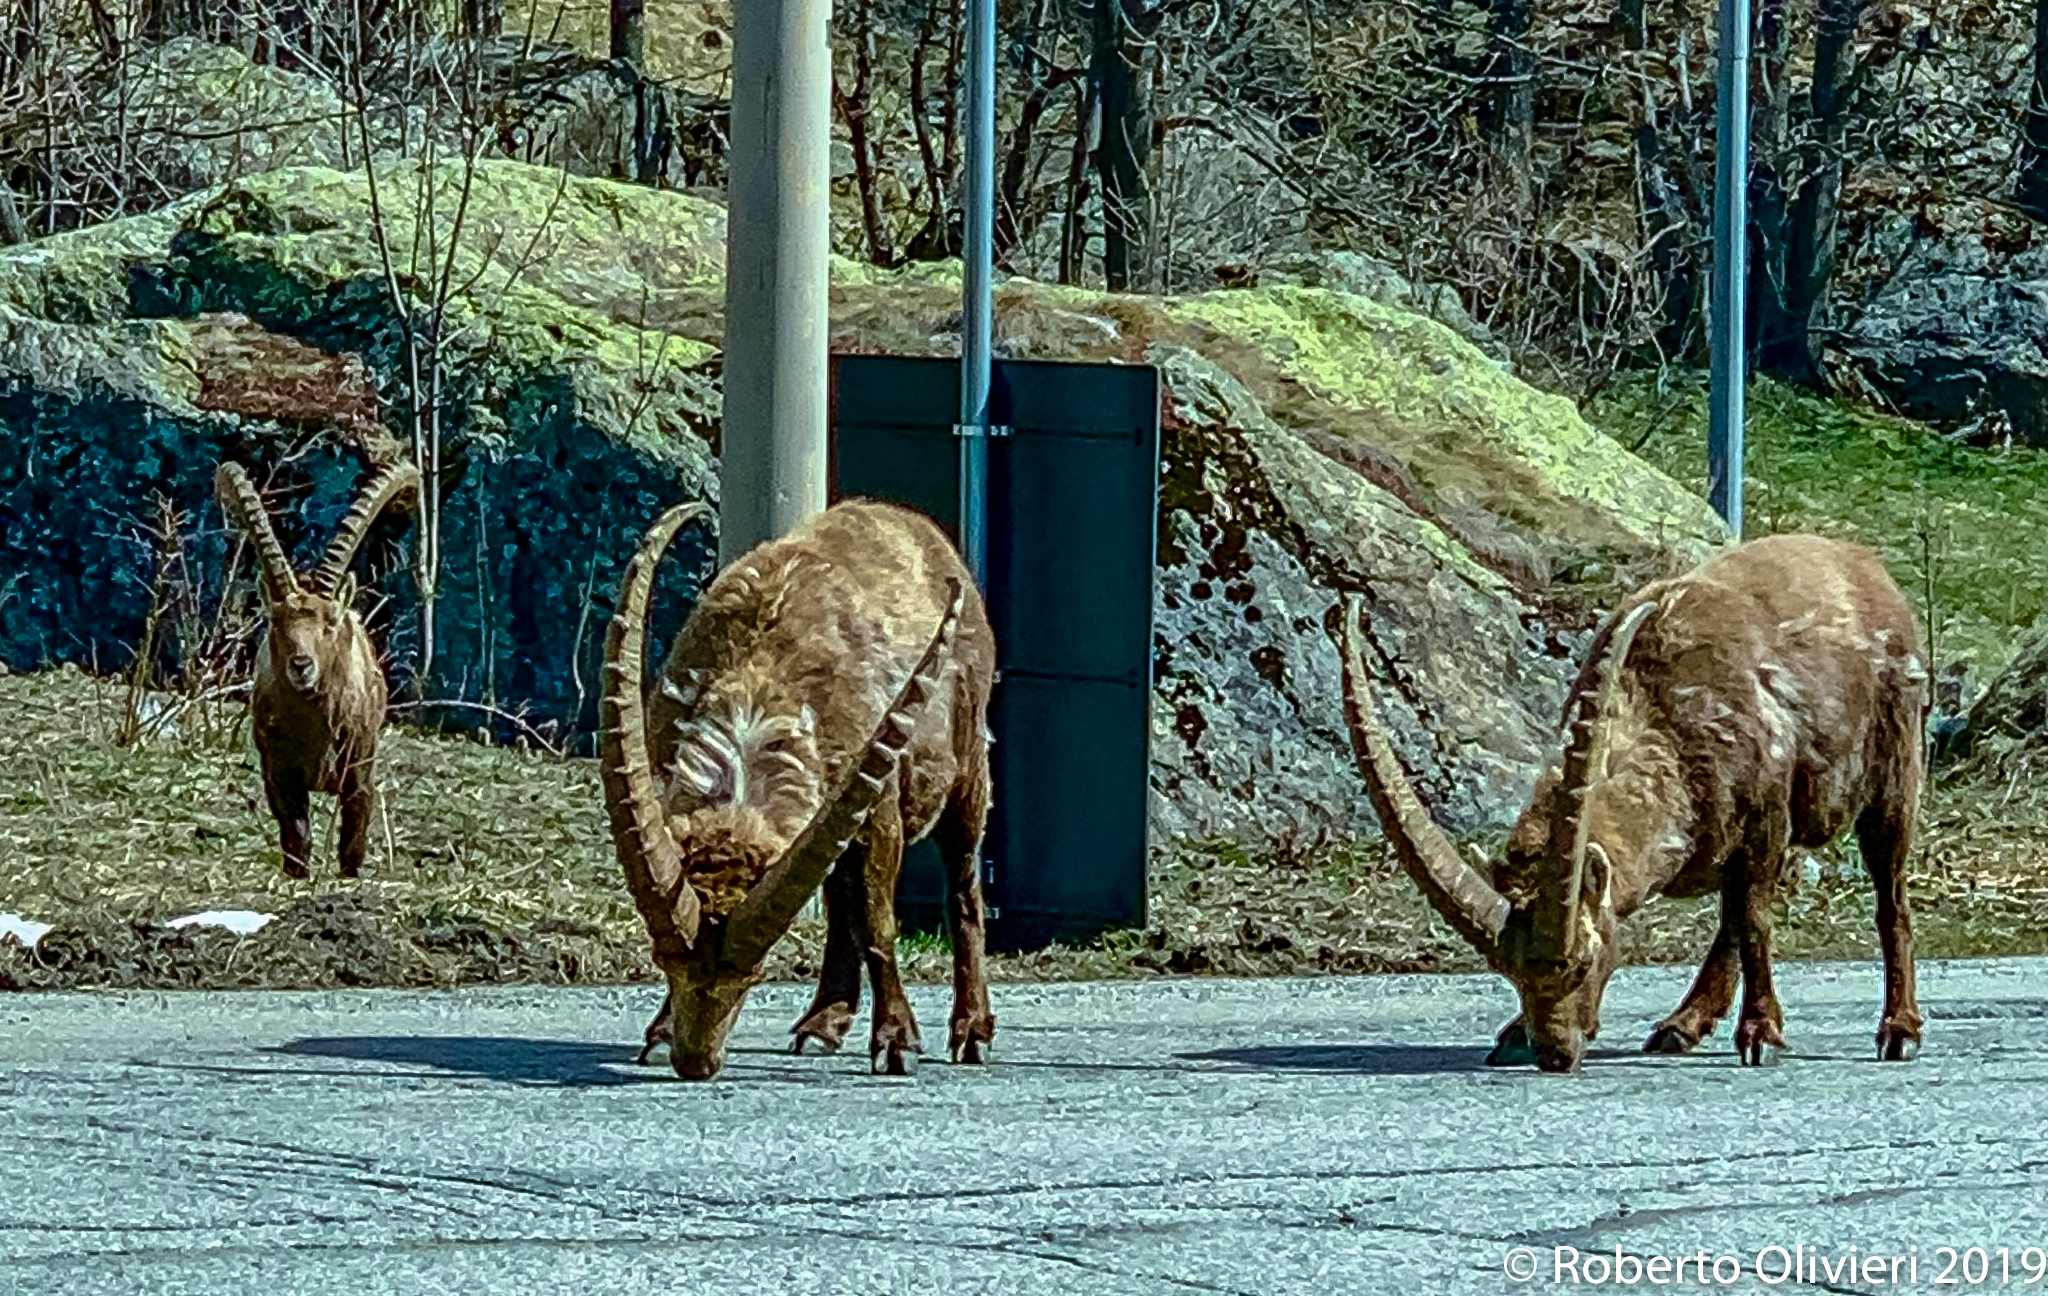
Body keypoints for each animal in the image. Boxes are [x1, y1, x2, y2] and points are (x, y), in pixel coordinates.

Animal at [215, 458, 419, 880]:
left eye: (329, 622)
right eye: (277, 621)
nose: (302, 665)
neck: (317, 725)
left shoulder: (360, 767)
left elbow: (353, 839)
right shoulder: (278, 771)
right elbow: (295, 835)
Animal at [601, 498, 999, 1081]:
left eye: (755, 971)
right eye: (663, 959)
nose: (696, 1062)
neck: (759, 682)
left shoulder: (876, 804)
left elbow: (878, 923)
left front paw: (897, 1043)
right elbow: (852, 908)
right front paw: (660, 1031)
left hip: (968, 770)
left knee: (962, 887)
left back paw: (971, 1031)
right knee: (838, 898)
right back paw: (821, 1025)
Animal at [1336, 534, 1929, 1073]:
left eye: (1581, 963)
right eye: (1510, 972)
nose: (1555, 1054)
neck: (1663, 719)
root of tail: (1866, 567)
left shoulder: (1766, 818)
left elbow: (1755, 920)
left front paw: (1761, 1034)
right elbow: (1739, 918)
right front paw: (1513, 1033)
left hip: (1894, 772)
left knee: (1890, 898)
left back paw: (1899, 1030)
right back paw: (1681, 1024)